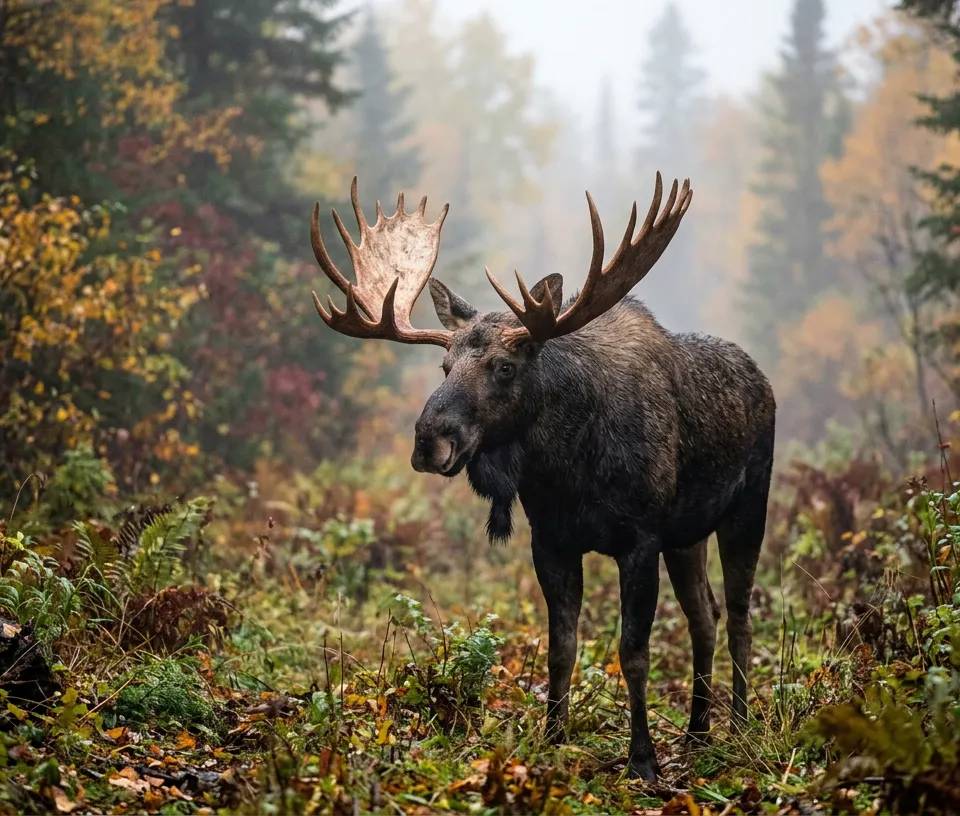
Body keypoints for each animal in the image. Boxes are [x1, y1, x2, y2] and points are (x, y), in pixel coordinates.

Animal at [308, 175, 775, 781]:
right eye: (444, 366)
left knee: (739, 614)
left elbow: (632, 652)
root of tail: (764, 381)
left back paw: (738, 727)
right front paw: (551, 738)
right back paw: (698, 733)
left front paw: (642, 760)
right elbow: (560, 647)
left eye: (504, 367)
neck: (567, 470)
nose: (429, 442)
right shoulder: (552, 539)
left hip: (747, 508)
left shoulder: (640, 539)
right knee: (705, 615)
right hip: (686, 534)